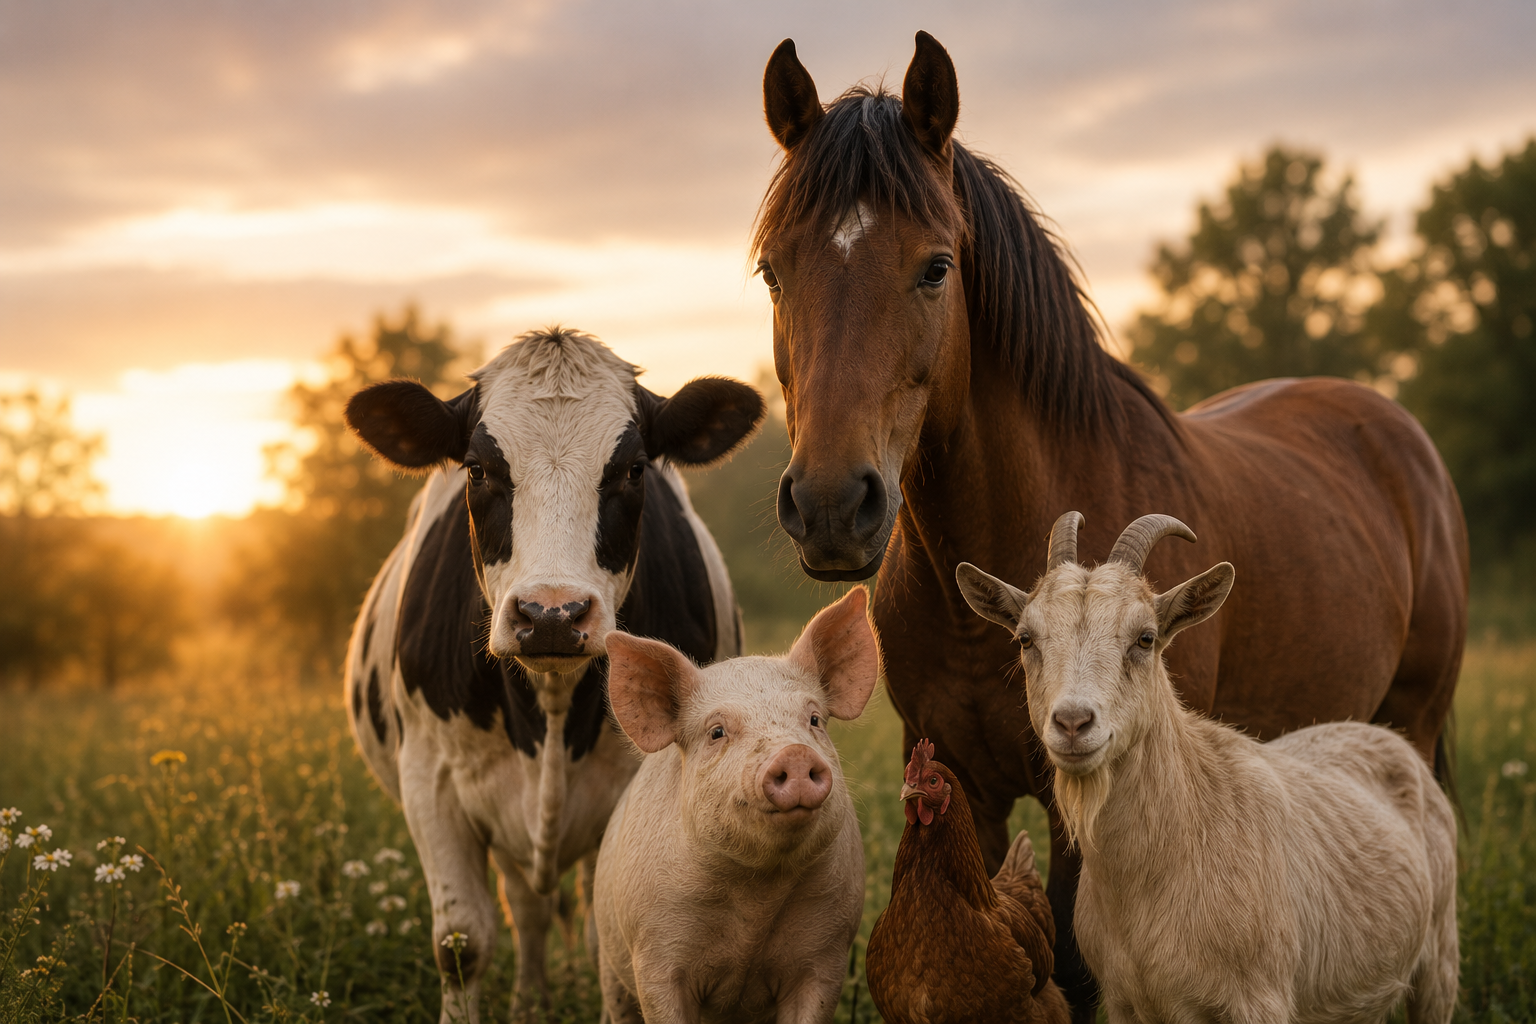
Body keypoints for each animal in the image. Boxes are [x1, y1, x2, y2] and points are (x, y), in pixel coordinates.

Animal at [341, 327, 763, 1022]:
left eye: (634, 469)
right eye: (478, 468)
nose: (552, 615)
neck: (552, 702)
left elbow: (608, 939)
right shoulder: (428, 777)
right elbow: (462, 942)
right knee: (527, 906)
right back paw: (530, 1001)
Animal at [956, 511, 1458, 1024]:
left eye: (1145, 638)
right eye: (1025, 639)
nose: (1073, 722)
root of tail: (1386, 737)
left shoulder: (1260, 999)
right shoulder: (1123, 1002)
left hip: (1439, 957)